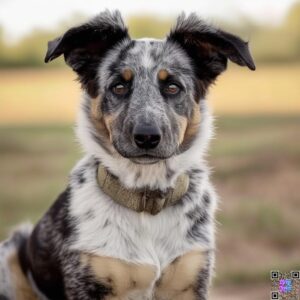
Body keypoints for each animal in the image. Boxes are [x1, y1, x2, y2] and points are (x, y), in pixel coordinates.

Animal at [0, 9, 255, 300]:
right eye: (119, 87)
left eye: (173, 87)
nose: (147, 137)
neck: (146, 198)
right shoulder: (89, 280)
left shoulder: (191, 278)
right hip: (9, 255)